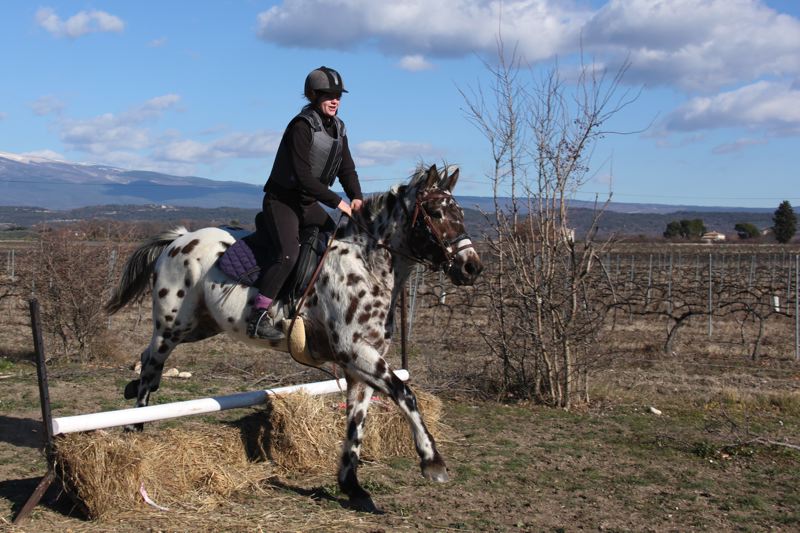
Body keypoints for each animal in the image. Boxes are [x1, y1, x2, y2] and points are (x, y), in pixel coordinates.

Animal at [105, 163, 483, 510]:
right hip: (172, 325)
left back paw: (134, 394)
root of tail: (180, 238)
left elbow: (357, 420)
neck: (367, 265)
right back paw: (134, 429)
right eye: (436, 213)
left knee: (147, 358)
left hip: (201, 325)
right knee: (152, 363)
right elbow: (405, 393)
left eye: (461, 213)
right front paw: (433, 462)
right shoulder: (355, 351)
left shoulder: (360, 362)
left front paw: (352, 486)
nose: (472, 267)